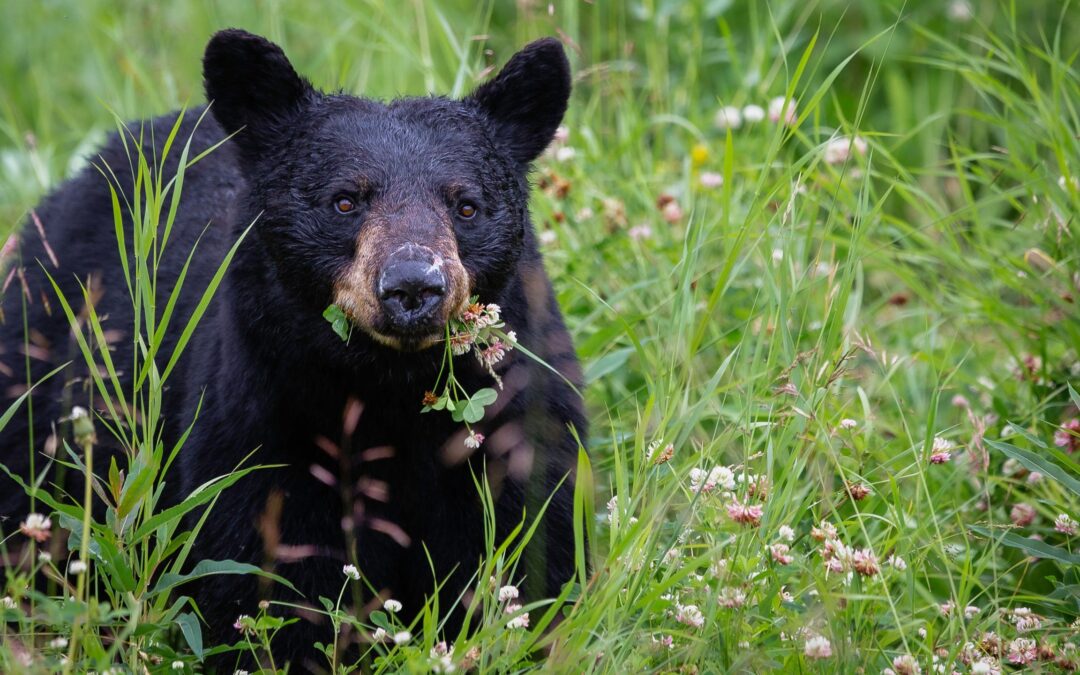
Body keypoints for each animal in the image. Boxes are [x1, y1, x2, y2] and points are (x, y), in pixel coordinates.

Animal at [0, 29, 585, 671]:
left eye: (466, 205)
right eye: (345, 201)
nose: (413, 286)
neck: (390, 390)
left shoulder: (516, 424)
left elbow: (529, 553)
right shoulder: (263, 425)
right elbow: (269, 578)